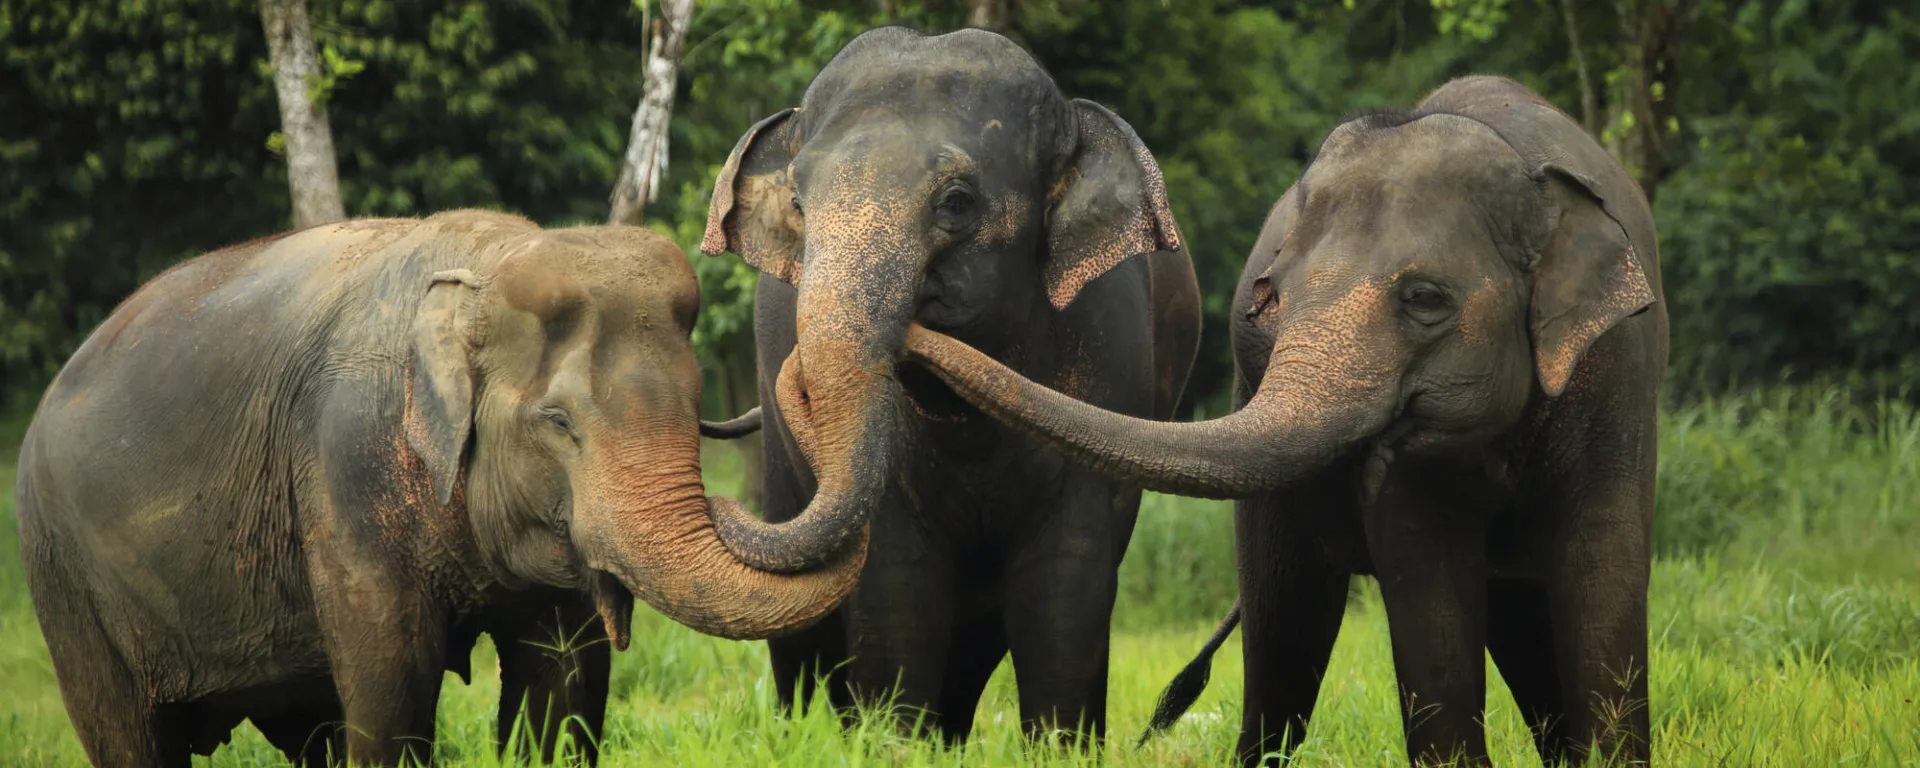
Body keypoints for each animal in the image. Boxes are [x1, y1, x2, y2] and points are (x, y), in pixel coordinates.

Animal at [11, 207, 867, 764]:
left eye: (695, 407)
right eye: (559, 423)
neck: (486, 265)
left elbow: (562, 683)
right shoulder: (344, 469)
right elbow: (392, 686)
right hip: (63, 578)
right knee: (129, 735)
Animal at [691, 28, 1198, 744]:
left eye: (957, 202)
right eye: (797, 203)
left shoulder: (1109, 358)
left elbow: (1066, 583)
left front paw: (1061, 747)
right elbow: (897, 582)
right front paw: (889, 743)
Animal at [898, 74, 1666, 764]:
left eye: (1425, 298)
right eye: (1270, 296)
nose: (913, 322)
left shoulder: (1620, 368)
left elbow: (1603, 565)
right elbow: (1428, 580)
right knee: (1284, 620)